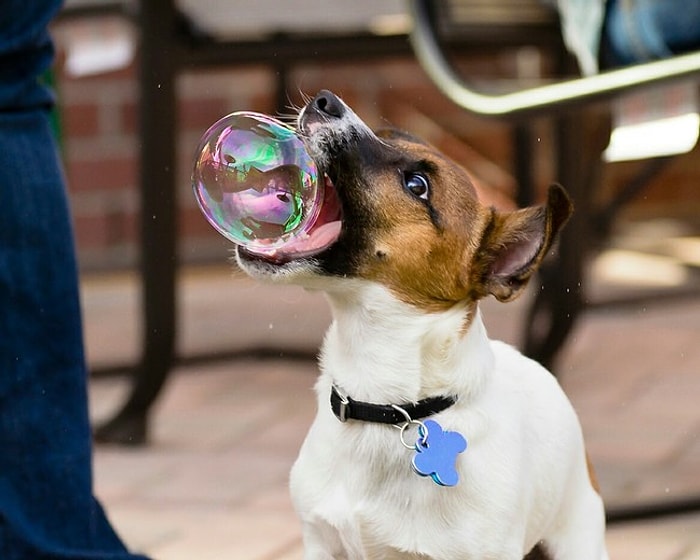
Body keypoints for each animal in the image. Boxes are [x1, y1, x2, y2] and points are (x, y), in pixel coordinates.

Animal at [237, 91, 608, 560]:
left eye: (417, 186)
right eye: (387, 137)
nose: (326, 100)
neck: (384, 403)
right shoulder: (320, 542)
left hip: (578, 536)